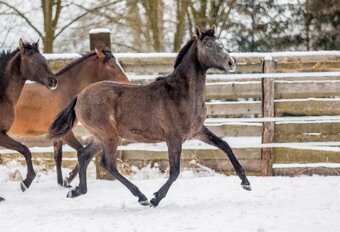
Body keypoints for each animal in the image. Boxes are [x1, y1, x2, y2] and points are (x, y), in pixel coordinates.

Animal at [0, 38, 57, 201]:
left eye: (44, 59)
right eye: (33, 61)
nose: (53, 81)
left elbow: (25, 150)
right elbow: (25, 149)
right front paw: (26, 182)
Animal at [9, 47, 129, 187]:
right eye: (112, 66)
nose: (128, 83)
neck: (63, 90)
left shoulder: (58, 135)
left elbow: (58, 157)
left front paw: (61, 182)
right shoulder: (66, 133)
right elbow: (80, 151)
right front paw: (68, 179)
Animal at [48, 26, 250, 207]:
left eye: (221, 43)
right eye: (208, 44)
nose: (231, 62)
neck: (182, 93)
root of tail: (79, 96)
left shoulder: (197, 131)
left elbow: (224, 145)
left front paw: (246, 183)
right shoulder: (174, 137)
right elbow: (175, 171)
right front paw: (155, 198)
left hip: (100, 137)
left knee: (83, 155)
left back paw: (76, 191)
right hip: (109, 135)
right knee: (108, 164)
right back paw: (141, 197)